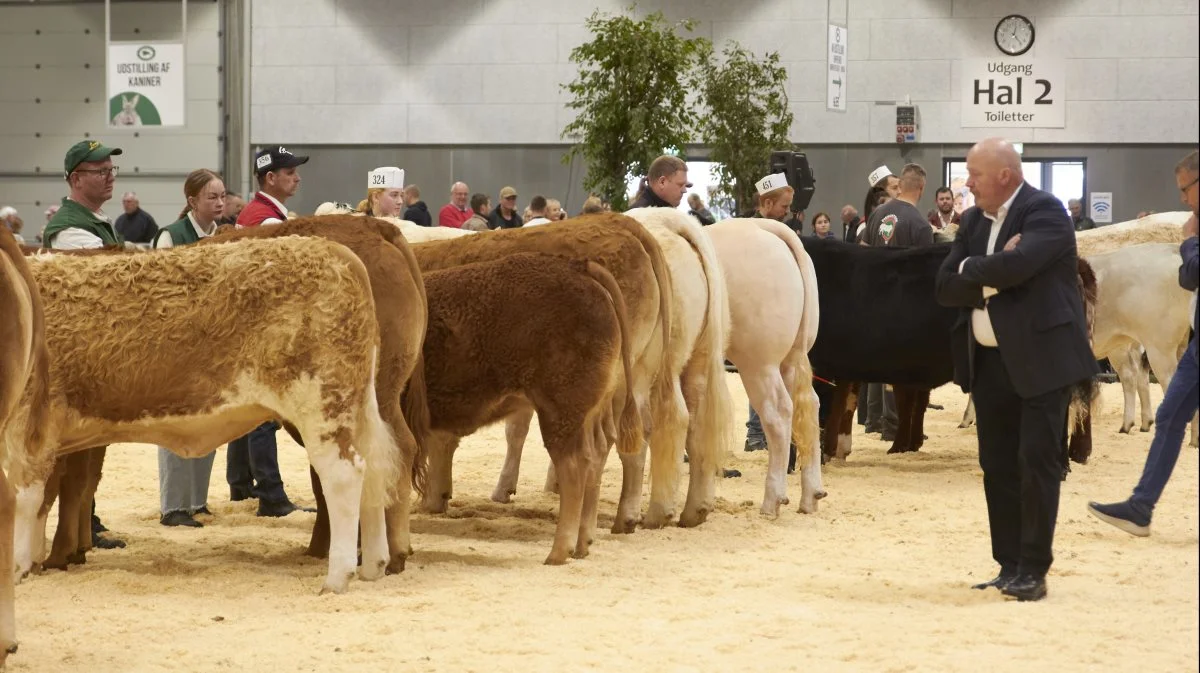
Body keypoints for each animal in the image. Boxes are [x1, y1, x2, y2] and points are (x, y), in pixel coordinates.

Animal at [8, 236, 403, 592]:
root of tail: (334, 250)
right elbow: (43, 500)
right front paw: (32, 564)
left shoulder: (28, 424)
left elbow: (23, 498)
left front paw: (16, 568)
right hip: (353, 408)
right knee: (371, 473)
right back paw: (374, 566)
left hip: (322, 405)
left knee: (344, 476)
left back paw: (338, 577)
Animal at [700, 219, 825, 513]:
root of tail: (763, 225)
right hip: (791, 359)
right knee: (809, 407)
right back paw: (810, 496)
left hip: (758, 361)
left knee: (778, 412)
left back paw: (772, 500)